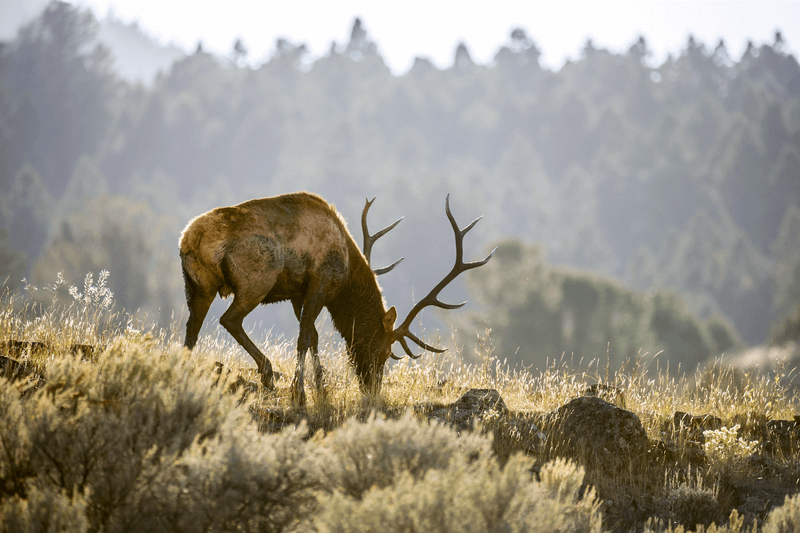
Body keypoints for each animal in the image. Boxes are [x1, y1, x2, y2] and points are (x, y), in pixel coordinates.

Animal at [180, 191, 494, 404]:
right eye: (384, 351)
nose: (372, 389)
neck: (346, 274)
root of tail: (189, 239)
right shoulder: (320, 283)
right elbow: (304, 336)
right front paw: (299, 394)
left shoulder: (298, 293)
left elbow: (314, 337)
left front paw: (321, 389)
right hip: (257, 279)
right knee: (229, 319)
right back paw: (267, 372)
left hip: (198, 286)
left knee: (192, 328)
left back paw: (184, 371)